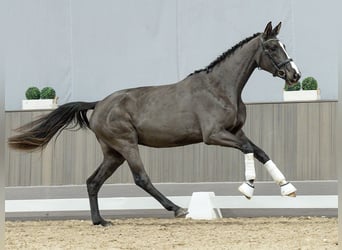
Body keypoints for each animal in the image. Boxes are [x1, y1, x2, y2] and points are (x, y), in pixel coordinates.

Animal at [8, 21, 300, 226]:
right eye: (272, 48)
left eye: (285, 46)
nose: (295, 75)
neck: (219, 87)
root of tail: (99, 103)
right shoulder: (214, 135)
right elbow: (250, 150)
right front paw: (247, 189)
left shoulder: (236, 131)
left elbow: (261, 151)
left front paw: (288, 188)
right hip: (127, 145)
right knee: (141, 178)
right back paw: (178, 209)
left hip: (113, 153)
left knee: (93, 182)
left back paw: (100, 221)